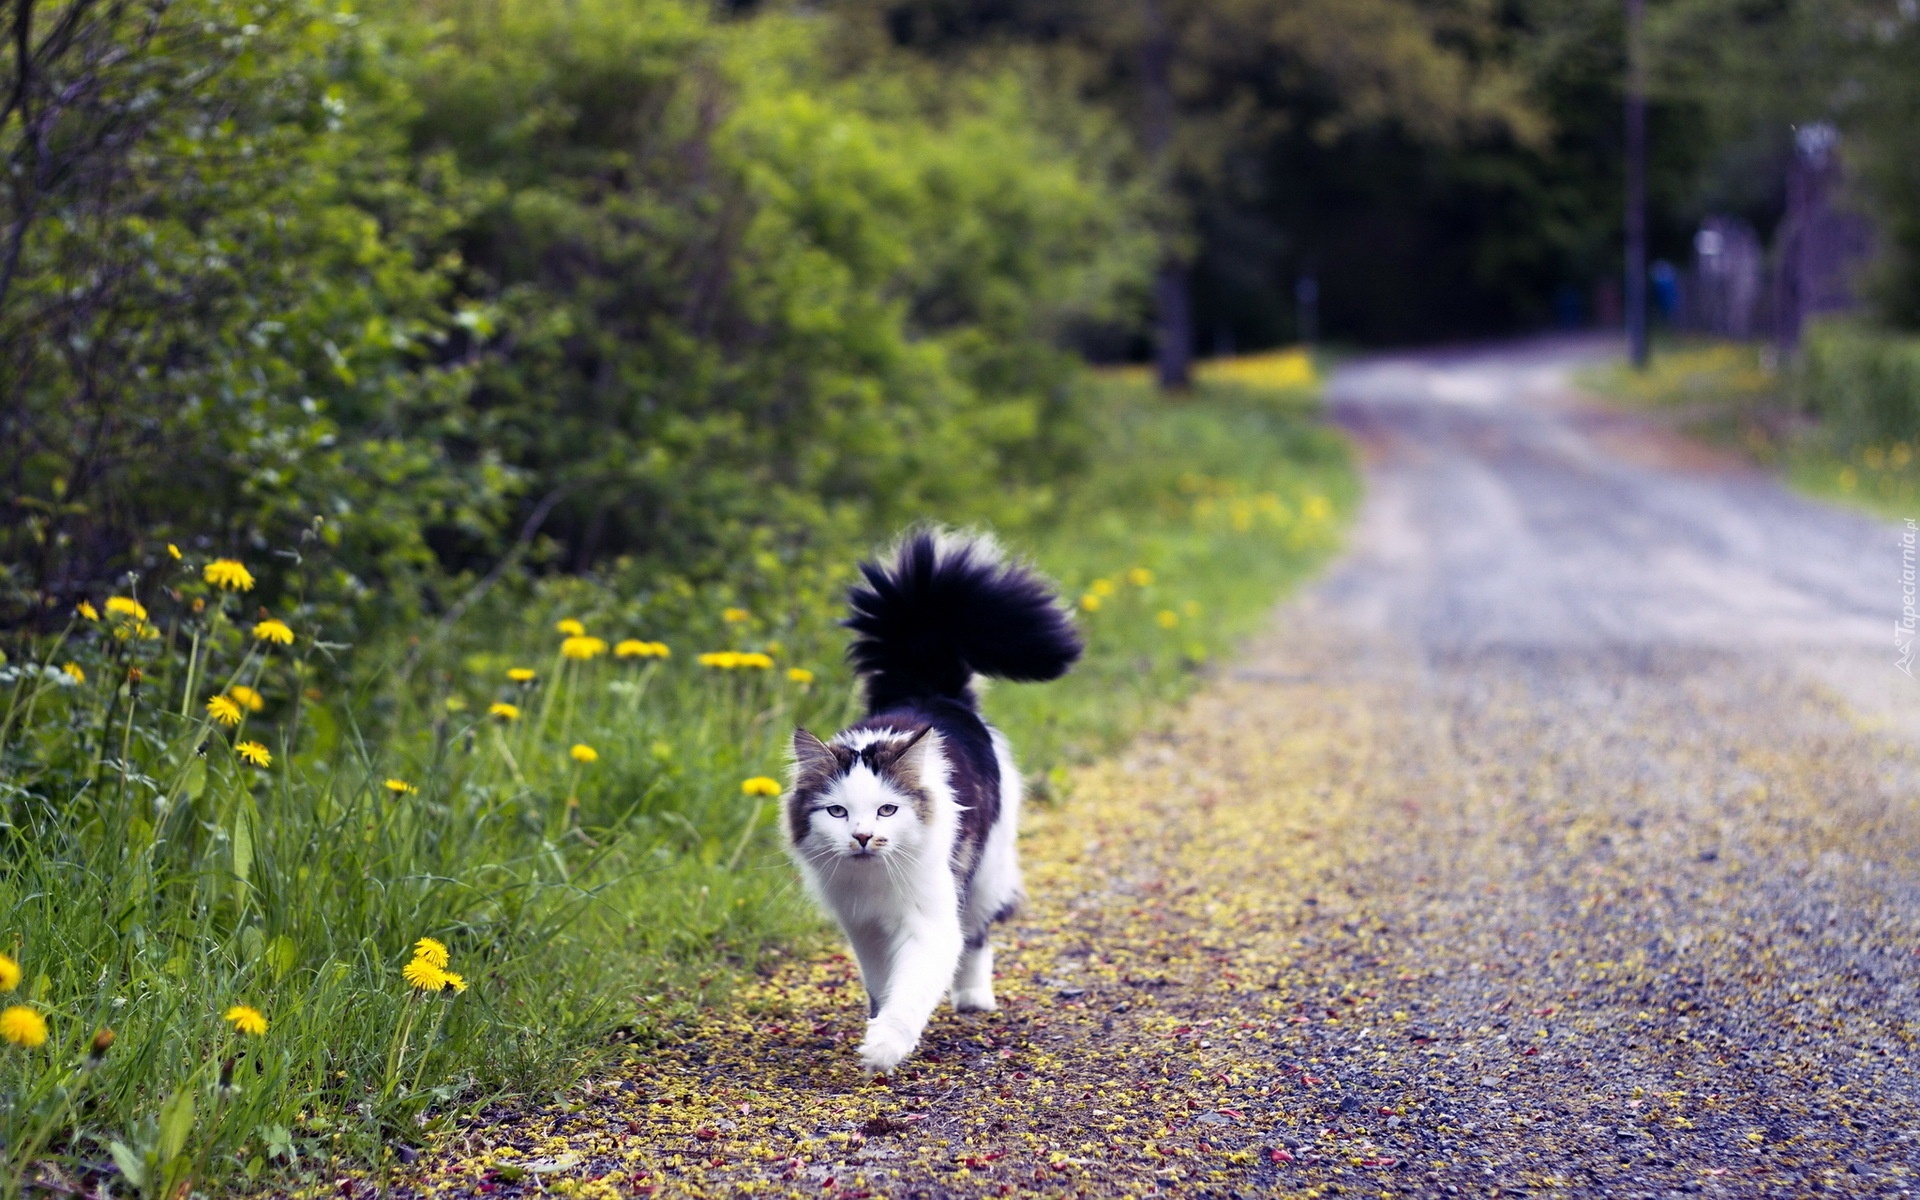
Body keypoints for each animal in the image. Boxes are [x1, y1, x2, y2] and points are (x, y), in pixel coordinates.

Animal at [779, 529, 1082, 1075]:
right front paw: (877, 1027)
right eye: (837, 811)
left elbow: (913, 987)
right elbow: (883, 985)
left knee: (979, 934)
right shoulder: (863, 927)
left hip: (984, 873)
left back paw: (974, 1000)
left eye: (887, 810)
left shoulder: (929, 922)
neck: (873, 882)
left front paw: (884, 1047)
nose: (862, 837)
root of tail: (927, 689)